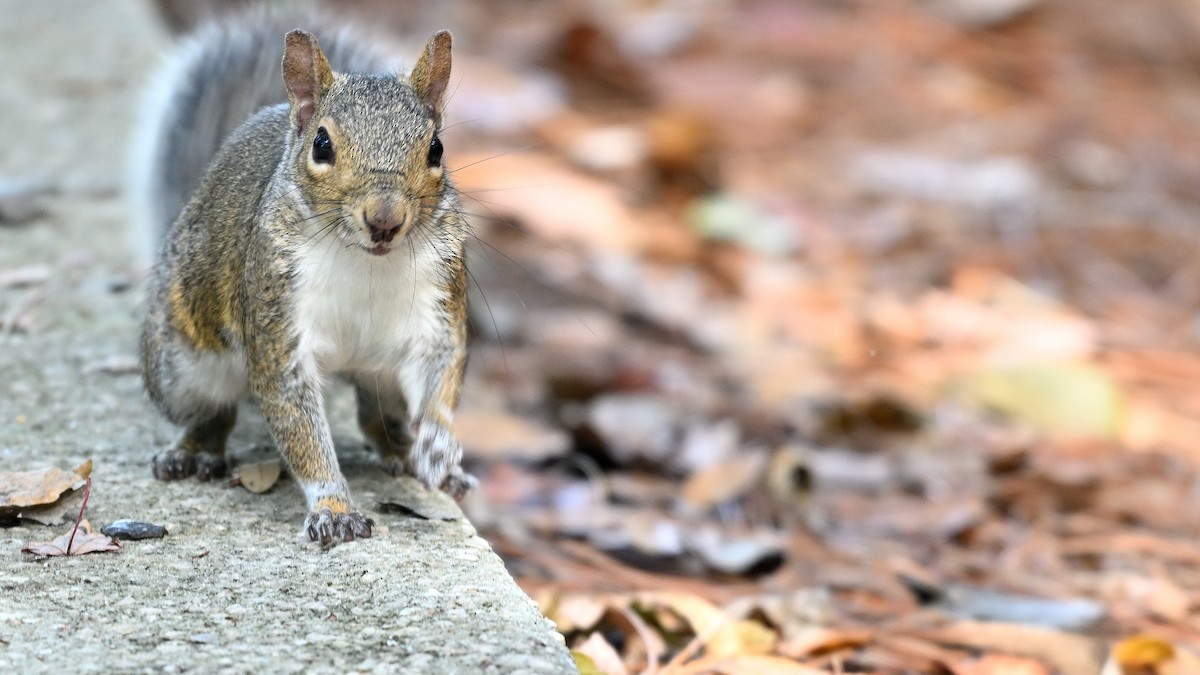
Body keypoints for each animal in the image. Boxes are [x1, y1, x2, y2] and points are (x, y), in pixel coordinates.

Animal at [134, 16, 474, 546]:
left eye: (436, 149)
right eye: (322, 145)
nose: (385, 220)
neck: (366, 261)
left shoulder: (439, 304)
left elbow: (442, 373)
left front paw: (439, 444)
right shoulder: (278, 325)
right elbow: (299, 424)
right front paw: (333, 507)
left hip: (384, 374)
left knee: (376, 416)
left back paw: (407, 453)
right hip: (181, 365)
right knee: (214, 409)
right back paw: (193, 450)